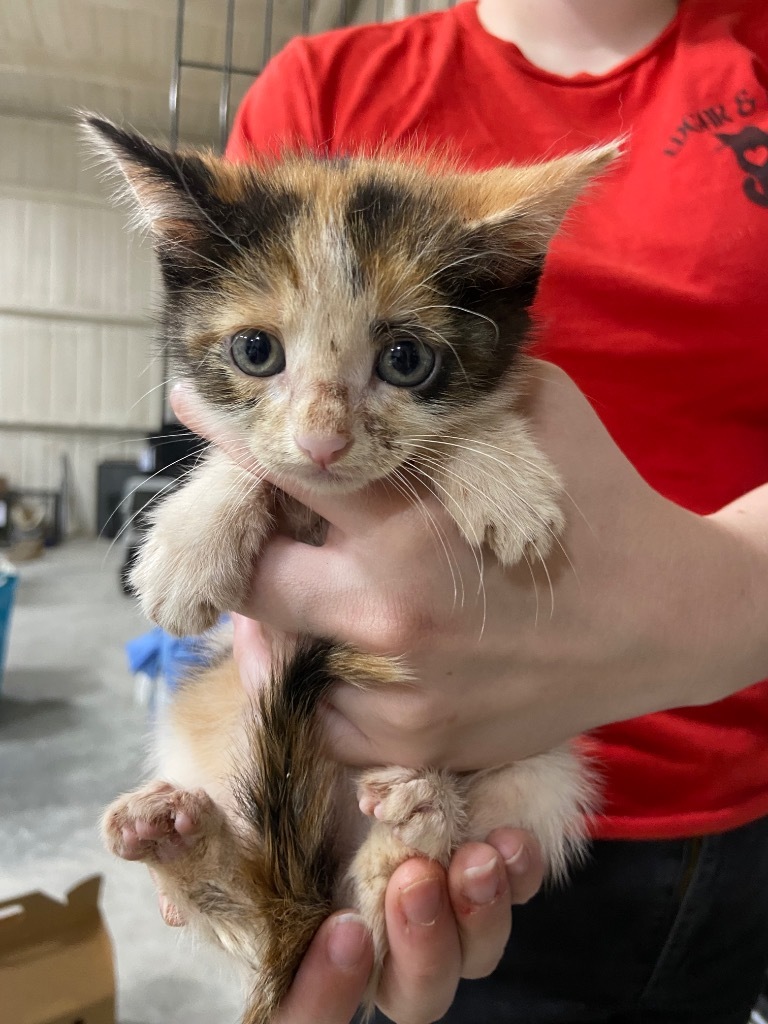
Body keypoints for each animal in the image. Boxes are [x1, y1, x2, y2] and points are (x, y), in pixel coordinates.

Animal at [85, 116, 618, 1024]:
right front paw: (191, 537)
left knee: (367, 929)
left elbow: (465, 420)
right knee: (263, 925)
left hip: (547, 766)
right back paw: (184, 846)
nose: (324, 442)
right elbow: (251, 460)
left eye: (405, 360)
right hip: (208, 718)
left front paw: (501, 474)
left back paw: (411, 828)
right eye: (256, 351)